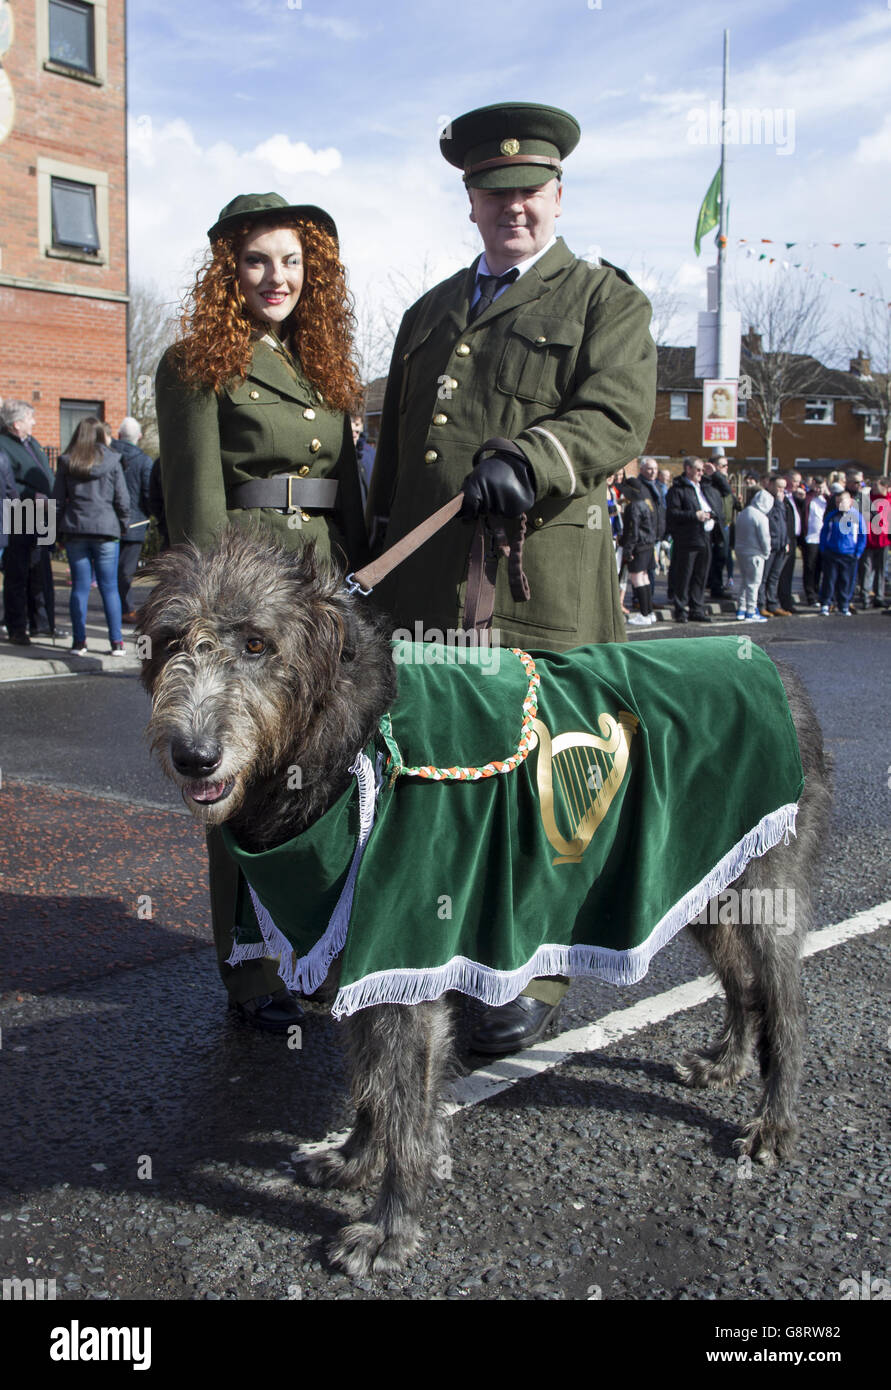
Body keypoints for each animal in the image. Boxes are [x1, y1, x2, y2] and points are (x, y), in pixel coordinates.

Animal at [139, 530, 828, 1278]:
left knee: (785, 1002)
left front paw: (390, 1230)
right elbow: (372, 1081)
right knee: (741, 983)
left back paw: (774, 1123)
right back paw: (726, 1064)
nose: (193, 756)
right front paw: (353, 1159)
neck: (352, 734)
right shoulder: (360, 948)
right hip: (703, 877)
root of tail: (779, 673)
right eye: (170, 640)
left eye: (258, 644)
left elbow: (406, 1108)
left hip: (761, 886)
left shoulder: (403, 949)